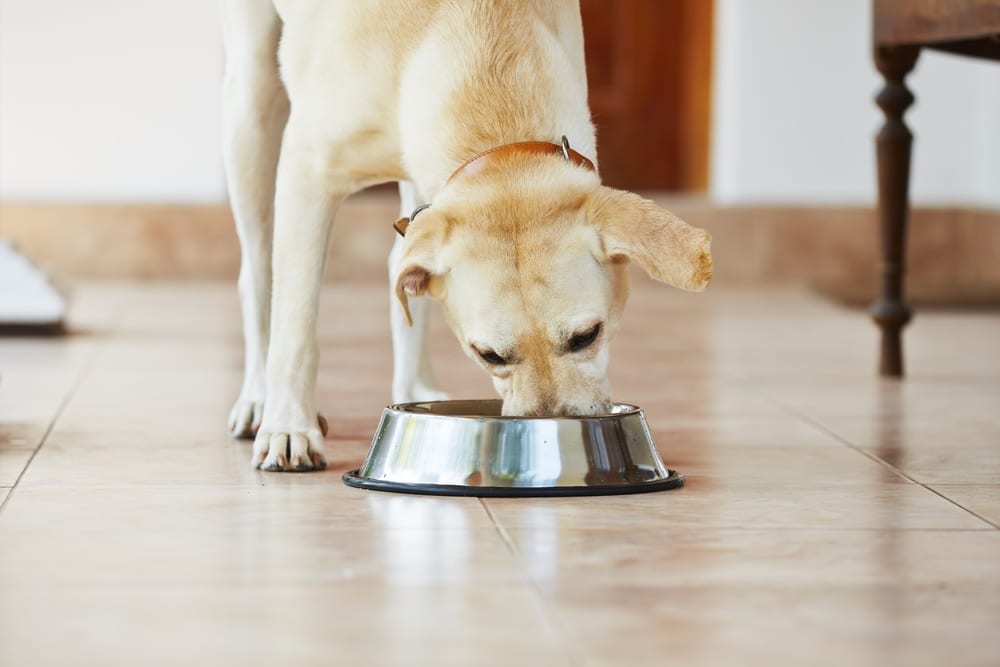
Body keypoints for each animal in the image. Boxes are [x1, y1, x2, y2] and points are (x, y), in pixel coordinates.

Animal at [220, 0, 712, 474]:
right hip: (251, 108)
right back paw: (260, 401)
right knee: (259, 274)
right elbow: (296, 326)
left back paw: (414, 387)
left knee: (401, 267)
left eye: (587, 336)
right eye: (489, 355)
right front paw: (290, 428)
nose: (550, 436)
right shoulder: (308, 171)